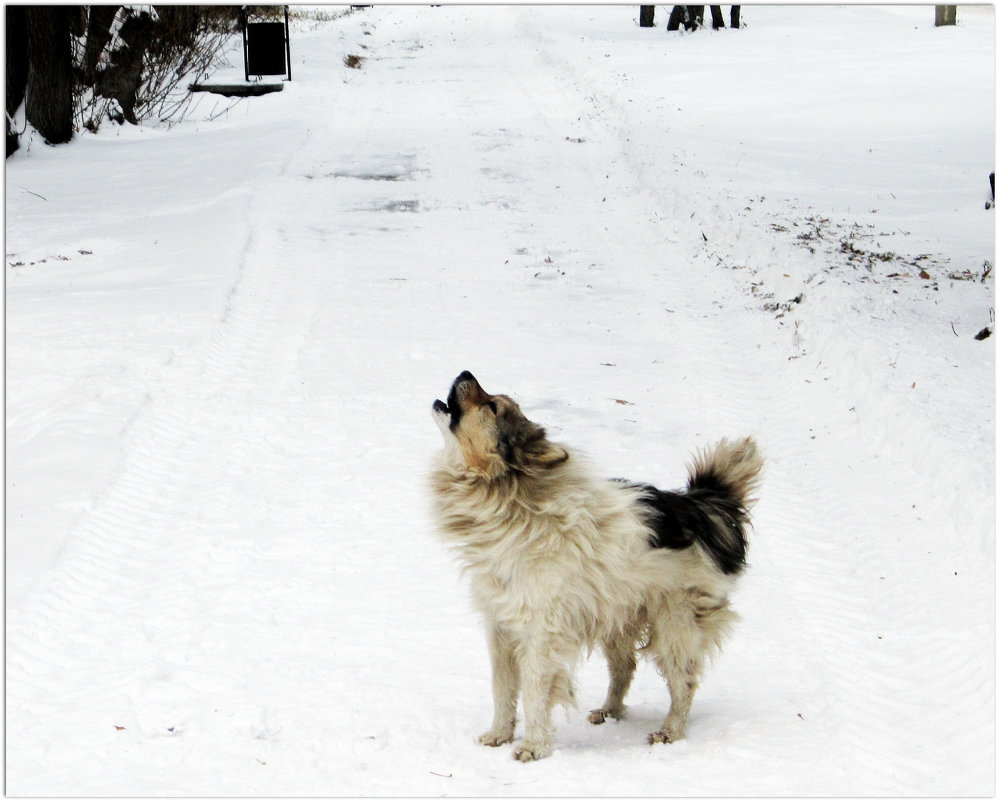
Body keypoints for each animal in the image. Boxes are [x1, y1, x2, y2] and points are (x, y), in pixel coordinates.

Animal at [426, 372, 760, 760]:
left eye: (492, 406)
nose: (465, 373)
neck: (512, 503)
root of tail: (702, 504)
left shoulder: (542, 632)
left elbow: (534, 691)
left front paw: (534, 747)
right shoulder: (500, 626)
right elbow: (503, 687)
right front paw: (499, 733)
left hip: (674, 622)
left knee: (684, 680)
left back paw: (671, 731)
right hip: (617, 614)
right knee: (625, 667)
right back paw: (610, 711)